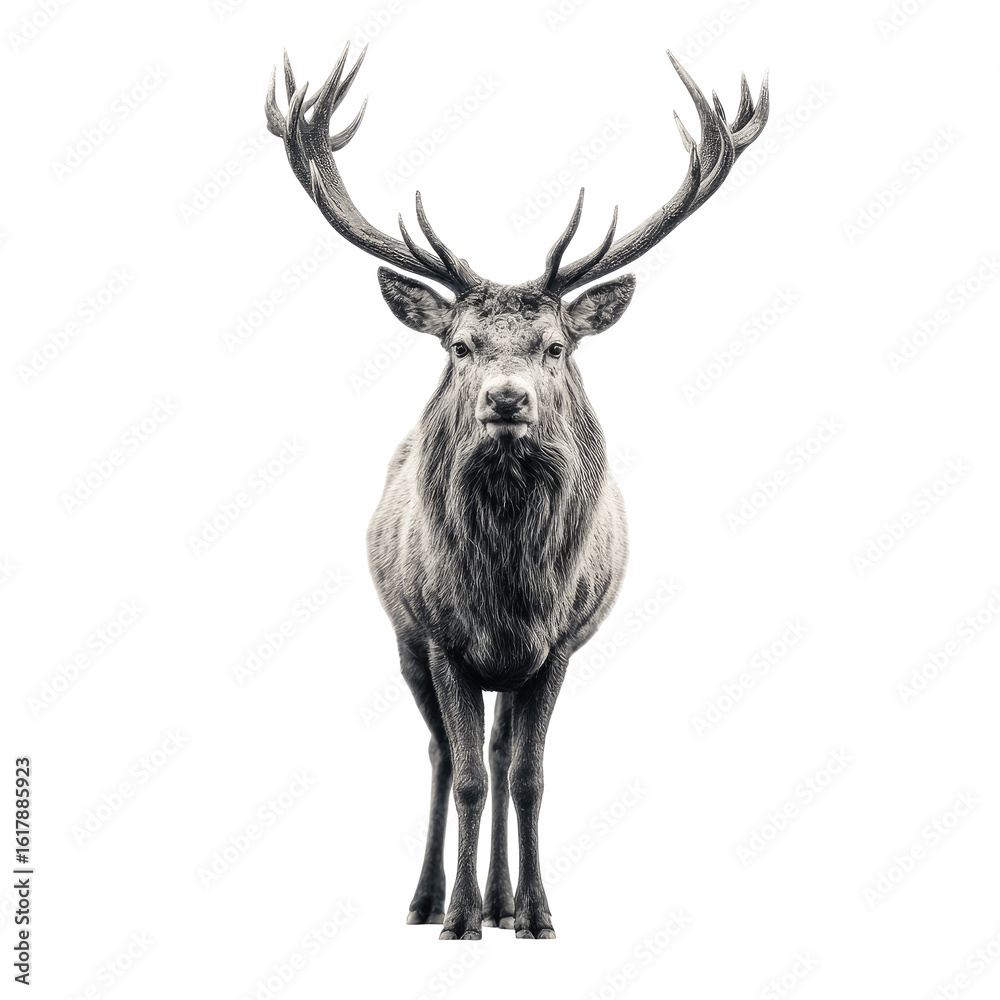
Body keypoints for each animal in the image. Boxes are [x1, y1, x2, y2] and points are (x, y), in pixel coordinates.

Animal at [265, 43, 768, 939]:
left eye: (556, 346)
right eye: (460, 345)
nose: (507, 399)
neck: (508, 587)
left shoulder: (560, 643)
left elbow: (528, 776)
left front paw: (535, 914)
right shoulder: (440, 637)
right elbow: (464, 774)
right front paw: (460, 919)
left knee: (501, 757)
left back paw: (501, 898)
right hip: (405, 640)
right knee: (445, 756)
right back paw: (431, 898)